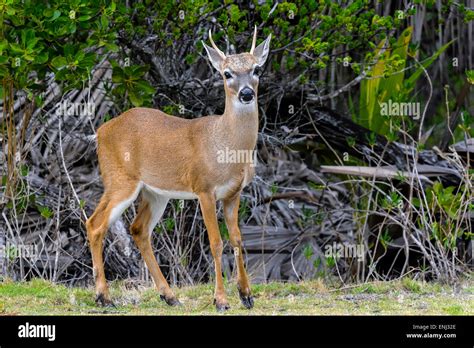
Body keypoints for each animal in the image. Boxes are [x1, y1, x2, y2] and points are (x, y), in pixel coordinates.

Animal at [85, 26, 270, 310]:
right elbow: (216, 242)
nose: (247, 93)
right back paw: (104, 297)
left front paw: (246, 295)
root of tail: (100, 132)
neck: (226, 146)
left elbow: (237, 239)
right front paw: (220, 300)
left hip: (156, 193)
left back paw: (169, 295)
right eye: (226, 73)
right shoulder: (204, 189)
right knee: (95, 224)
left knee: (138, 230)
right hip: (120, 179)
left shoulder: (233, 193)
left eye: (257, 69)